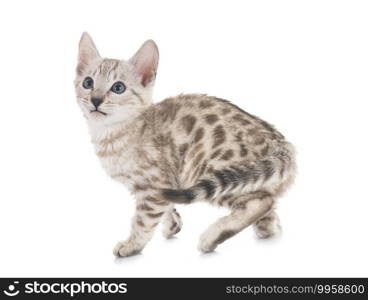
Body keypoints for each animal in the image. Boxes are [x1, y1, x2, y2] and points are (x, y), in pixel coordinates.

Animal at [74, 33, 296, 258]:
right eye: (88, 82)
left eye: (118, 88)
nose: (95, 99)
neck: (110, 133)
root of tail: (279, 143)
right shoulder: (160, 187)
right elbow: (166, 207)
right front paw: (173, 224)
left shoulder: (154, 185)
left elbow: (143, 221)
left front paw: (132, 245)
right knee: (270, 212)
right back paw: (267, 230)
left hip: (208, 170)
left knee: (261, 202)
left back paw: (211, 237)